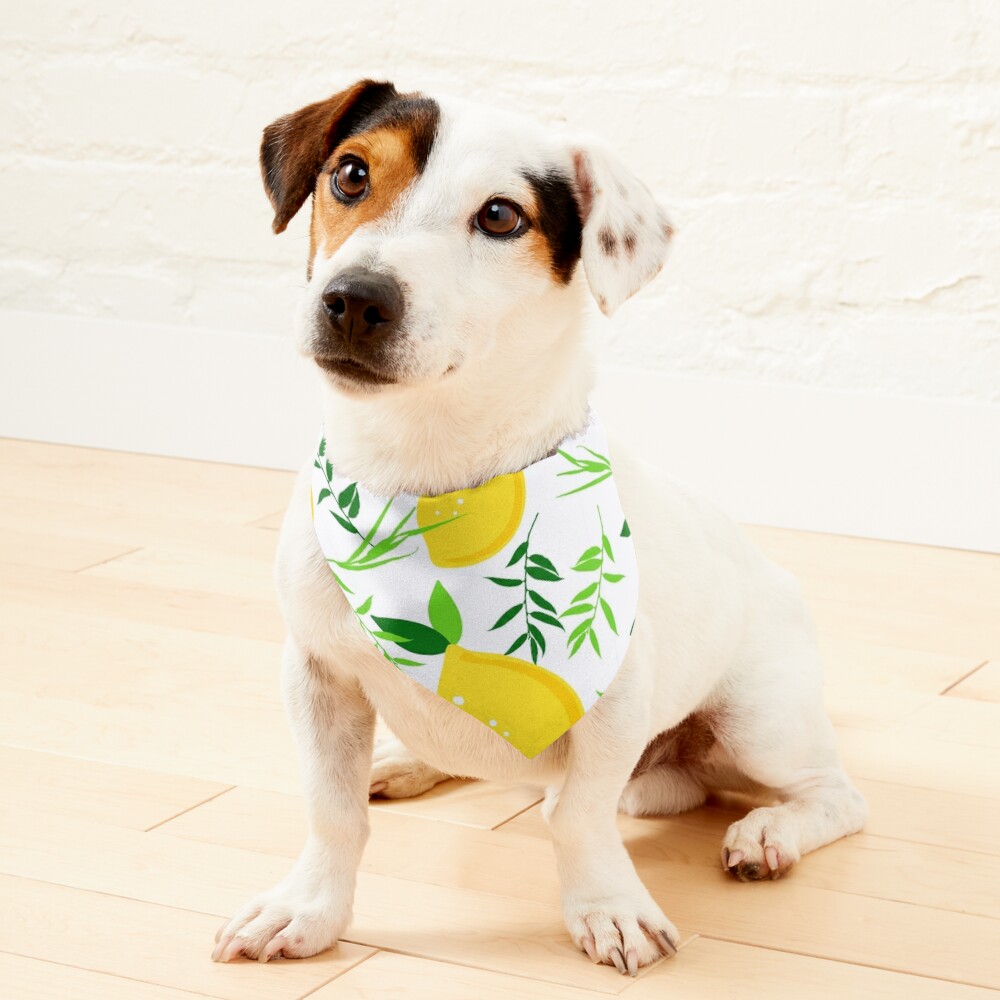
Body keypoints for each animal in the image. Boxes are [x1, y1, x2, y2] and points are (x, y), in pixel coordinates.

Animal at [213, 80, 868, 976]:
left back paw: (770, 833)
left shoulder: (615, 702)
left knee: (834, 796)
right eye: (350, 174)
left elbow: (579, 817)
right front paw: (308, 909)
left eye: (500, 216)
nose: (355, 299)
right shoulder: (317, 677)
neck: (427, 484)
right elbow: (332, 810)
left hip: (760, 720)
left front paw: (608, 907)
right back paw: (408, 761)